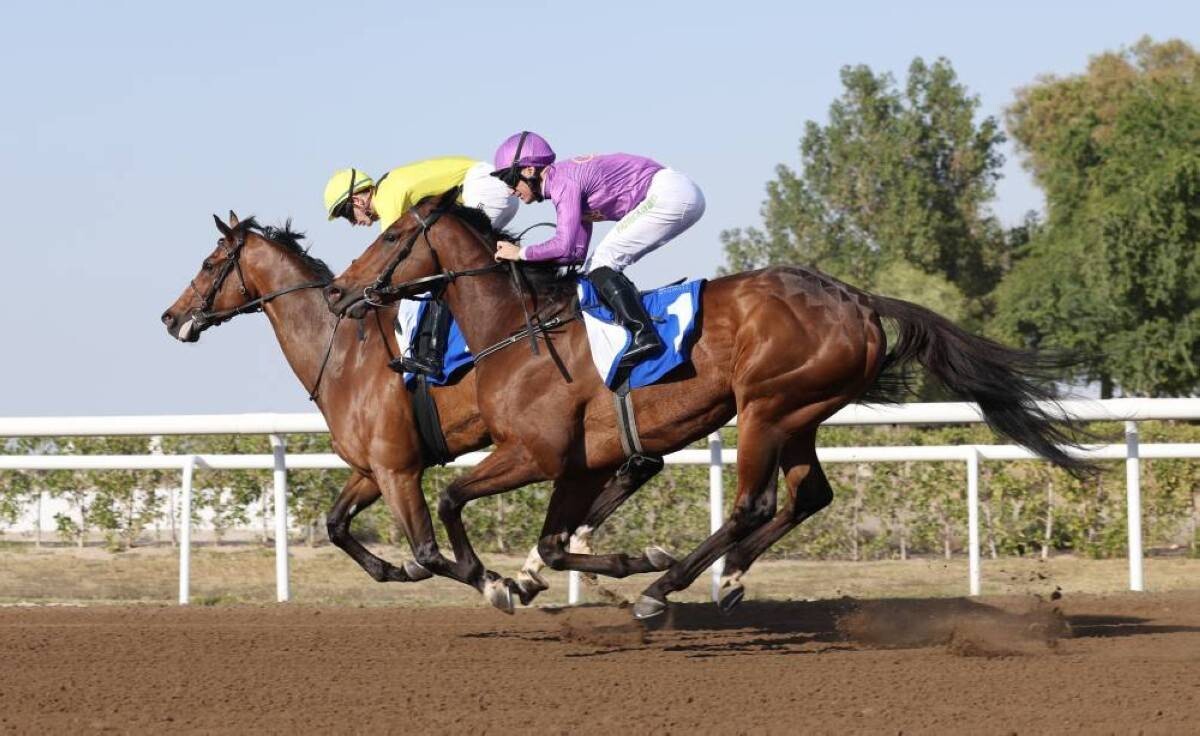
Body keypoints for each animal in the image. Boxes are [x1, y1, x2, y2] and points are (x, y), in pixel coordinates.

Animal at [161, 212, 671, 611]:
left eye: (209, 264)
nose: (170, 317)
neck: (341, 350)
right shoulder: (371, 469)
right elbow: (336, 525)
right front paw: (399, 570)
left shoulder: (398, 468)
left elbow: (427, 549)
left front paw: (494, 583)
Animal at [323, 189, 1093, 620]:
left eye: (392, 235)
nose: (338, 291)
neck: (517, 329)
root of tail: (857, 300)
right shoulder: (579, 463)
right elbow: (555, 541)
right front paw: (571, 569)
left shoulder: (535, 453)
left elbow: (454, 500)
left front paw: (496, 582)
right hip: (800, 414)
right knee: (807, 496)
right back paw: (723, 579)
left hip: (767, 406)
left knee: (753, 502)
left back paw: (666, 589)